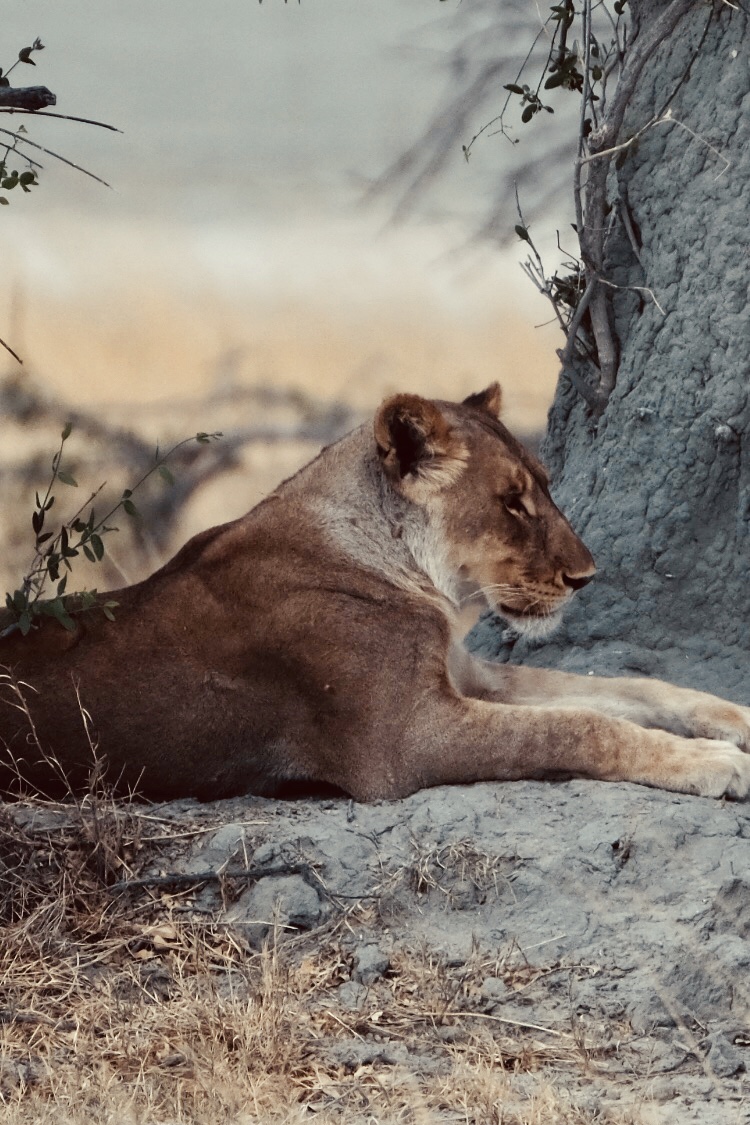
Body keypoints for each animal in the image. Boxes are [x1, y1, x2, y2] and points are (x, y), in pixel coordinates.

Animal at [1, 383, 750, 802]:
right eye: (512, 502)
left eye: (545, 483)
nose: (586, 576)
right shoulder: (405, 739)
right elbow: (581, 725)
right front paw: (714, 763)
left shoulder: (465, 676)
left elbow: (626, 690)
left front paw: (734, 720)